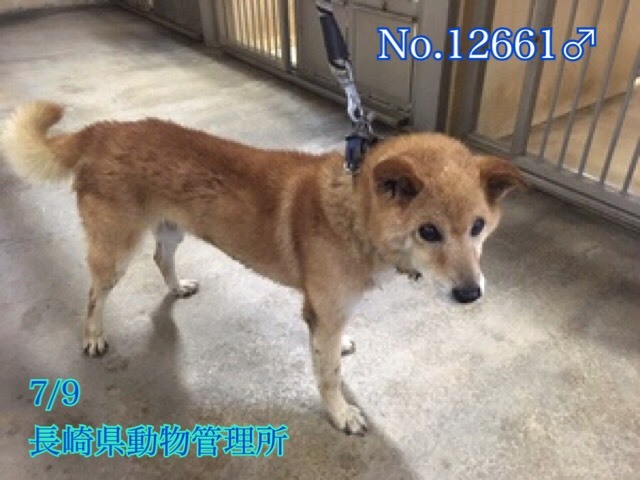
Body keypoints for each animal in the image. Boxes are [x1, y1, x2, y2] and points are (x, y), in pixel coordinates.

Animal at [1, 102, 525, 435]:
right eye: (429, 232)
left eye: (478, 227)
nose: (471, 294)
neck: (356, 214)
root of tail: (103, 130)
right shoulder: (322, 313)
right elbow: (328, 373)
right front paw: (341, 414)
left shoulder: (330, 313)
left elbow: (330, 350)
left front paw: (341, 350)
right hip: (115, 252)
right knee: (95, 291)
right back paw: (92, 335)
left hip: (171, 229)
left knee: (161, 258)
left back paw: (177, 287)